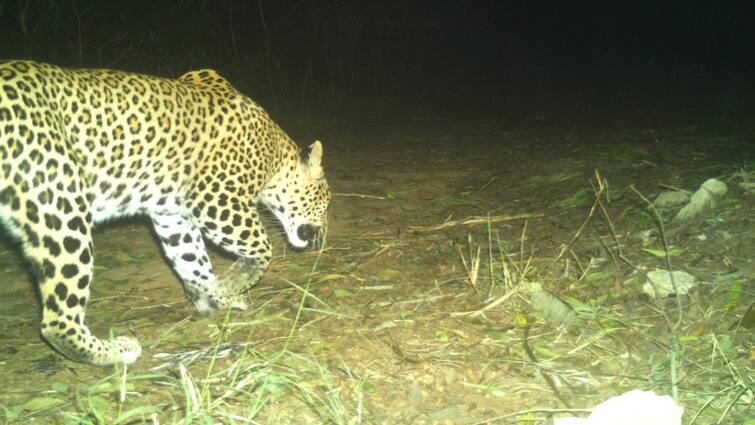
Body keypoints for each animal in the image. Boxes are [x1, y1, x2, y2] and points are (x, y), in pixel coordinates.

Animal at [0, 59, 330, 364]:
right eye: (324, 203)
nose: (322, 234)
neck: (275, 155)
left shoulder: (172, 213)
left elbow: (192, 260)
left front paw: (213, 294)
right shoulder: (217, 199)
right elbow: (262, 247)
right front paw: (229, 284)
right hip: (63, 205)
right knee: (57, 318)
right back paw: (114, 351)